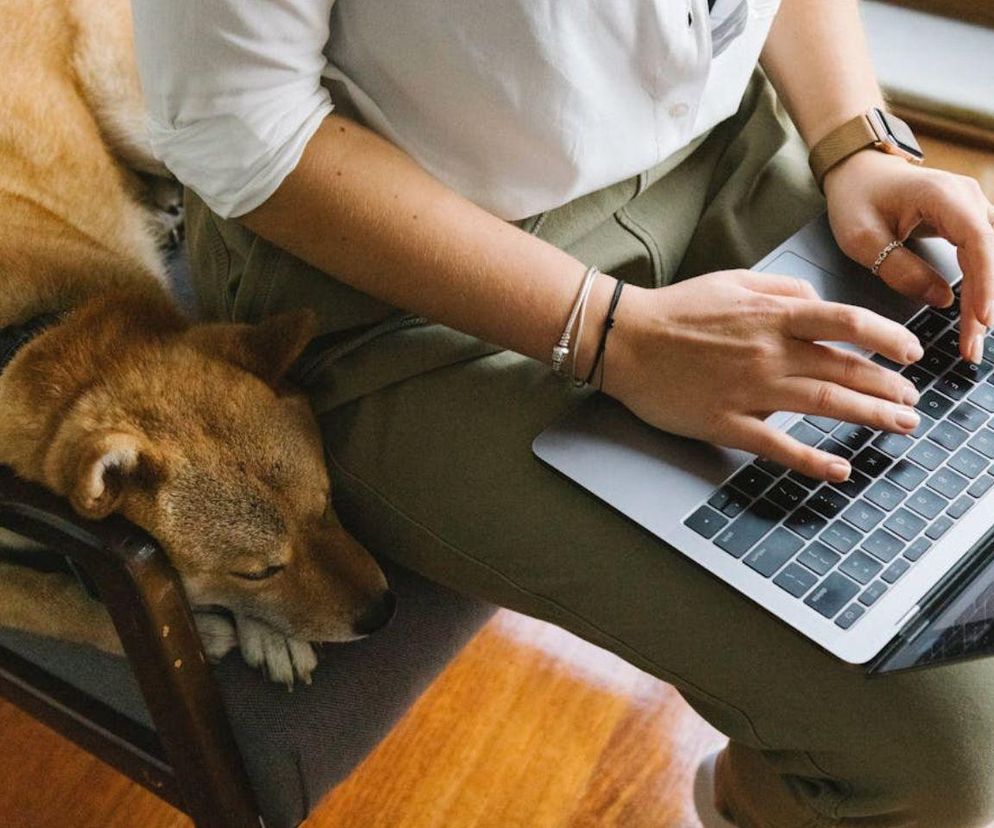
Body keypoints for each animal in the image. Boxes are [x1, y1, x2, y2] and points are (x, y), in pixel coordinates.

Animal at [0, 0, 396, 684]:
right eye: (259, 571)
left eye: (326, 503)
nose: (383, 611)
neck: (29, 332)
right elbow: (38, 599)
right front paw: (199, 631)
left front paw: (266, 634)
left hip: (147, 122)